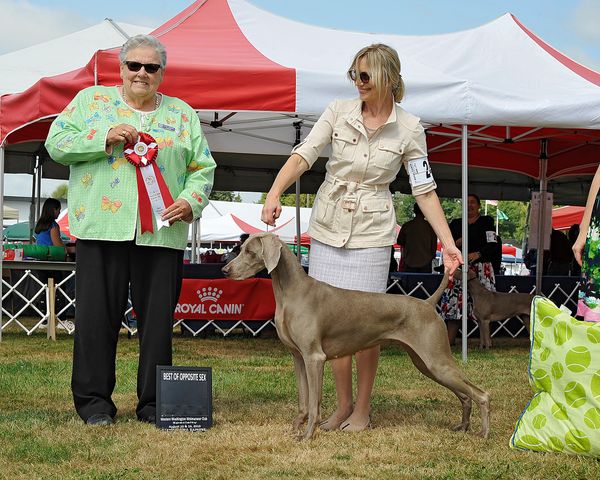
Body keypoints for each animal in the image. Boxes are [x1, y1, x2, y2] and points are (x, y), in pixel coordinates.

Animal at [223, 234, 490, 440]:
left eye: (250, 252)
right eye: (241, 249)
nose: (225, 270)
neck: (291, 291)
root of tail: (427, 302)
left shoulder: (314, 357)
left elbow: (314, 403)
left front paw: (308, 435)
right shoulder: (298, 358)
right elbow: (303, 402)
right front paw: (295, 429)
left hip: (436, 360)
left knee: (482, 394)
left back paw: (484, 434)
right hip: (425, 363)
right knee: (465, 396)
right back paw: (463, 427)